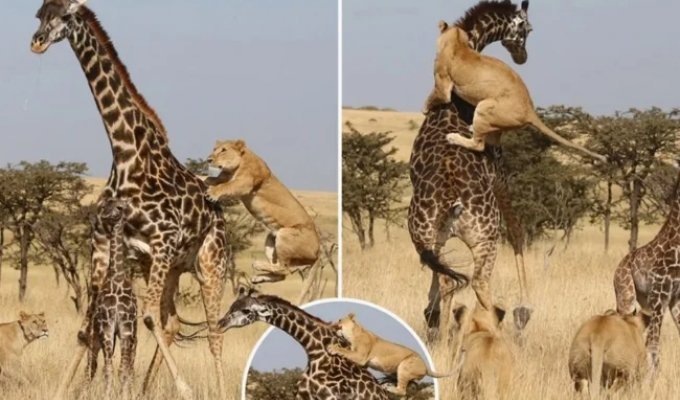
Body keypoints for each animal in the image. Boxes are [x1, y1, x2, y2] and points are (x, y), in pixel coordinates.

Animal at [30, 1, 230, 398]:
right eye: (39, 13)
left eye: (66, 15)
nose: (37, 42)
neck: (125, 153)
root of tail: (218, 212)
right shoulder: (103, 242)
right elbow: (87, 326)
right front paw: (66, 388)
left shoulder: (163, 240)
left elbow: (148, 316)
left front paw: (184, 388)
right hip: (172, 267)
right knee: (171, 323)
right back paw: (147, 387)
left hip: (208, 263)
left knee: (214, 331)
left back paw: (219, 389)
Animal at [219, 288, 390, 400]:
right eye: (231, 307)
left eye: (246, 311)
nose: (220, 324)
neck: (315, 351)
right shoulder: (301, 396)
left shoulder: (332, 397)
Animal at [408, 0, 533, 338]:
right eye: (527, 30)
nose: (523, 56)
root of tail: (453, 196)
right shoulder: (499, 173)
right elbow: (518, 229)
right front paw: (525, 308)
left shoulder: (436, 237)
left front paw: (431, 315)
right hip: (485, 237)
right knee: (476, 282)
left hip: (424, 232)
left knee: (447, 277)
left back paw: (439, 331)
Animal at [614, 167, 680, 372]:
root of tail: (616, 269)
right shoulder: (659, 298)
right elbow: (652, 346)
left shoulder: (674, 299)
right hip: (626, 296)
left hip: (644, 303)